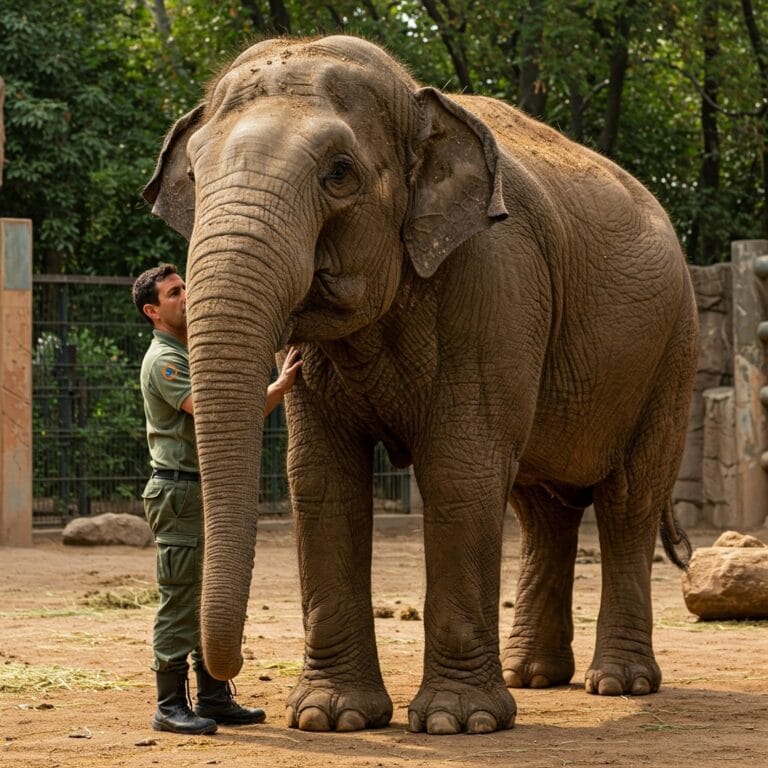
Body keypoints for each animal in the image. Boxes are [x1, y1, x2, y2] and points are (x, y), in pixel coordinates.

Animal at [143, 34, 698, 736]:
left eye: (339, 173)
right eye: (193, 177)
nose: (228, 683)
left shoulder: (496, 279)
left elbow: (461, 469)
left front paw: (457, 723)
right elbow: (321, 477)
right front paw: (330, 718)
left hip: (671, 352)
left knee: (628, 499)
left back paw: (619, 685)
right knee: (541, 507)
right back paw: (534, 676)